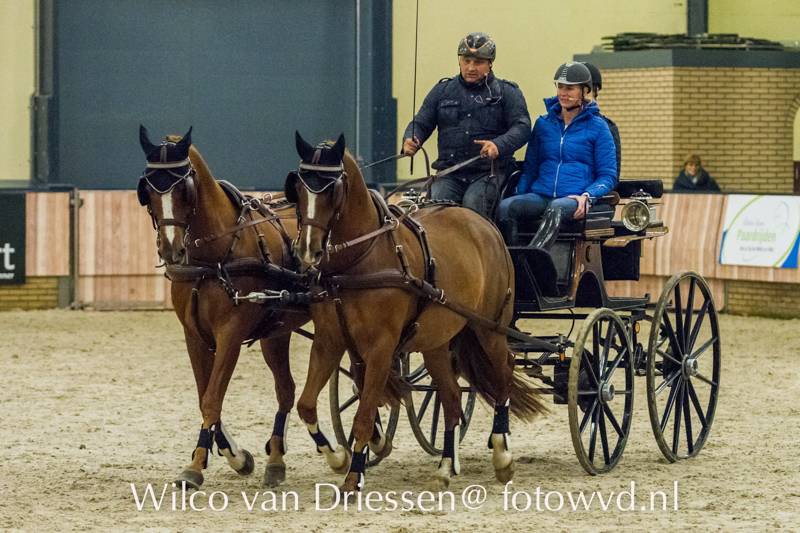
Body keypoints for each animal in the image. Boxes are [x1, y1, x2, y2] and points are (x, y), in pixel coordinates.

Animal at [136, 125, 348, 490]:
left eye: (184, 190)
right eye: (147, 189)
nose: (171, 249)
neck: (215, 257)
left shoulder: (230, 336)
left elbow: (212, 397)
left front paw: (197, 465)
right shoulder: (194, 336)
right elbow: (206, 397)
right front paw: (235, 456)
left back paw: (340, 450)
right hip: (275, 332)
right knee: (286, 391)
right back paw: (276, 459)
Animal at [284, 132, 548, 490]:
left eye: (332, 190)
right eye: (297, 189)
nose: (306, 251)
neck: (359, 260)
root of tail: (485, 225)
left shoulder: (382, 348)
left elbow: (364, 414)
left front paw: (354, 478)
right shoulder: (329, 341)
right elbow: (307, 405)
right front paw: (340, 457)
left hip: (490, 327)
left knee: (503, 373)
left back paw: (502, 454)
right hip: (437, 340)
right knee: (452, 397)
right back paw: (445, 467)